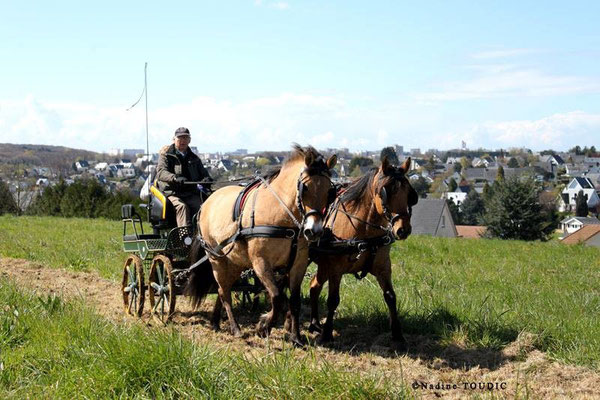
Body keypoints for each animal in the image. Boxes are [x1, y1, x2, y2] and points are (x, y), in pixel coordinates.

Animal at [186, 145, 336, 346]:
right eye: (305, 188)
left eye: (329, 192)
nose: (314, 231)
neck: (281, 214)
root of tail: (207, 202)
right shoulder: (261, 262)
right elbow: (277, 296)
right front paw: (264, 326)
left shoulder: (299, 264)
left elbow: (294, 301)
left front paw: (296, 337)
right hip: (215, 258)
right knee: (224, 291)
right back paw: (235, 328)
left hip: (235, 262)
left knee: (222, 289)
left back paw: (216, 322)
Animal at [310, 157, 418, 350]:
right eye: (385, 192)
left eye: (409, 193)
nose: (402, 230)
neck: (364, 231)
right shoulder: (335, 269)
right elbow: (333, 300)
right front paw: (327, 335)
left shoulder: (383, 267)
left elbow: (390, 297)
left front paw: (398, 335)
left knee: (314, 285)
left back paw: (314, 323)